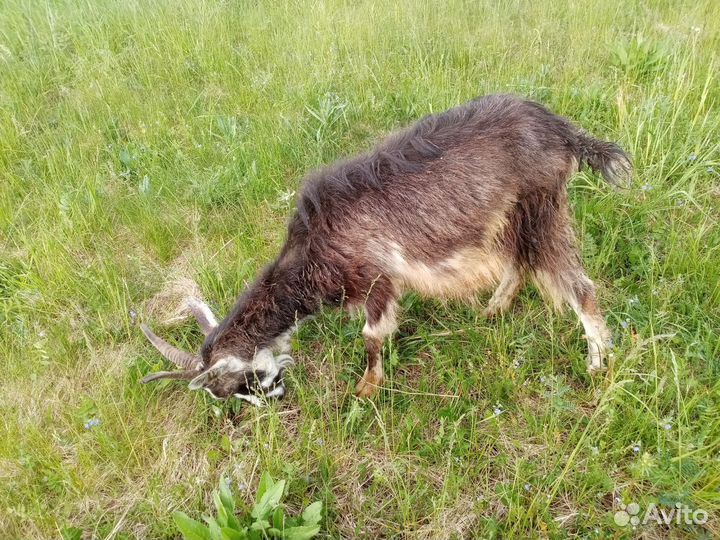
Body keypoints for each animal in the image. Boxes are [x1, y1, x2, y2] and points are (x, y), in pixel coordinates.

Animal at [140, 94, 631, 406]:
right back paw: (493, 309)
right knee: (519, 264)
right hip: (505, 217)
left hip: (540, 207)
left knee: (577, 285)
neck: (314, 246)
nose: (273, 399)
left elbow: (371, 335)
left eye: (233, 384)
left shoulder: (377, 276)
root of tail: (561, 129)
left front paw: (367, 388)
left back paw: (597, 362)